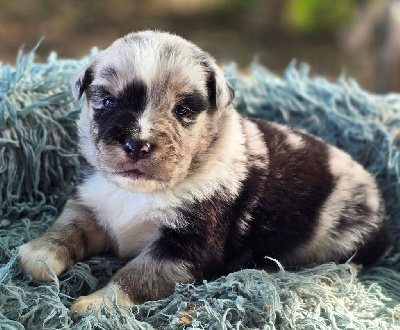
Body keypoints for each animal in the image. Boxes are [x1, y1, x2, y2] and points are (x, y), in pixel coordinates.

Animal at [18, 31, 388, 314]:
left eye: (183, 110)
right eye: (108, 102)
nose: (138, 144)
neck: (143, 192)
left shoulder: (185, 248)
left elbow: (137, 275)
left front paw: (97, 303)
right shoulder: (92, 204)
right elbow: (69, 227)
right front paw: (39, 254)